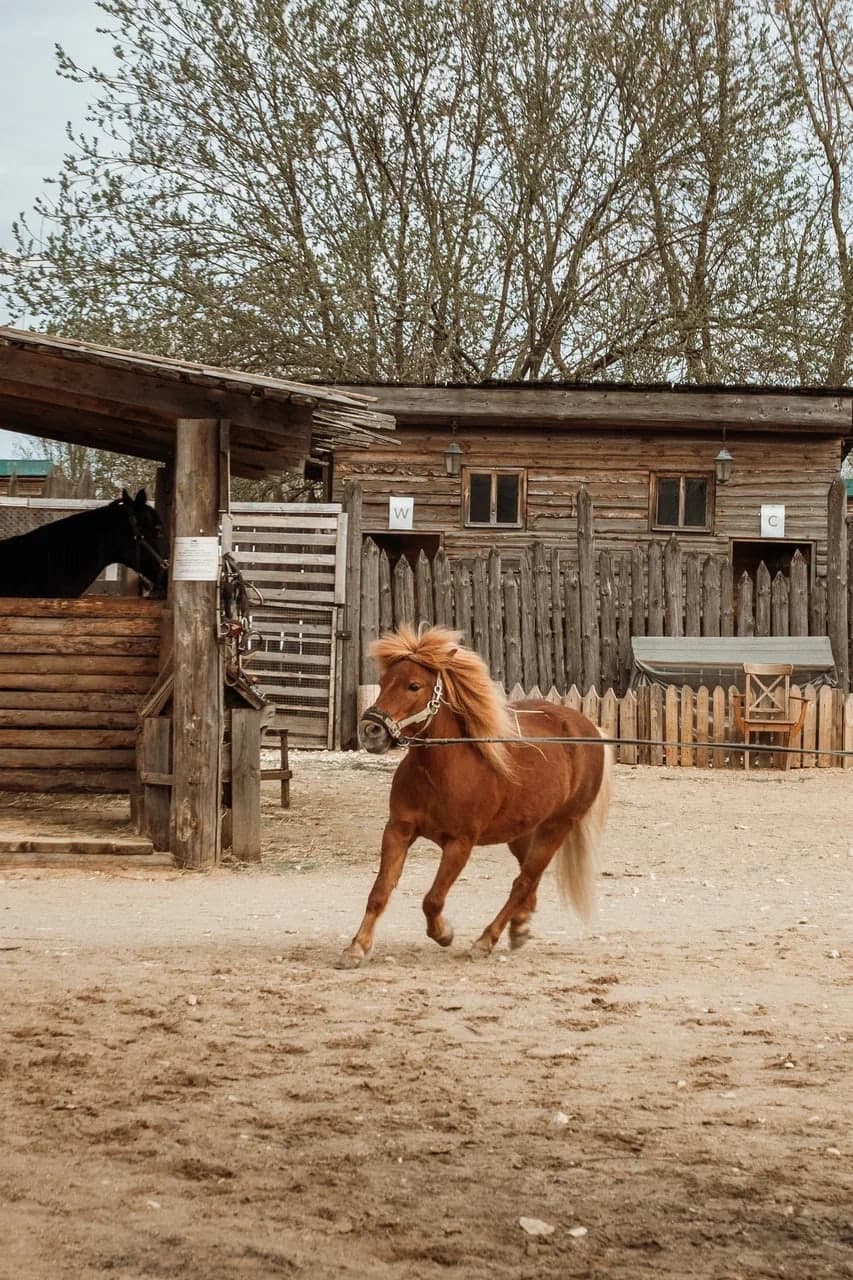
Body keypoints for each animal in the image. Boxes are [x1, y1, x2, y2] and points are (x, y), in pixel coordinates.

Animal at [339, 624, 613, 968]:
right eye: (384, 681)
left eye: (414, 686)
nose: (370, 731)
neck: (441, 771)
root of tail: (590, 730)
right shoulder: (398, 831)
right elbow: (379, 891)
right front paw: (356, 948)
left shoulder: (460, 843)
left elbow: (432, 900)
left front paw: (444, 934)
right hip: (522, 832)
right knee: (528, 879)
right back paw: (519, 927)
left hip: (557, 827)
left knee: (523, 882)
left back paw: (485, 941)